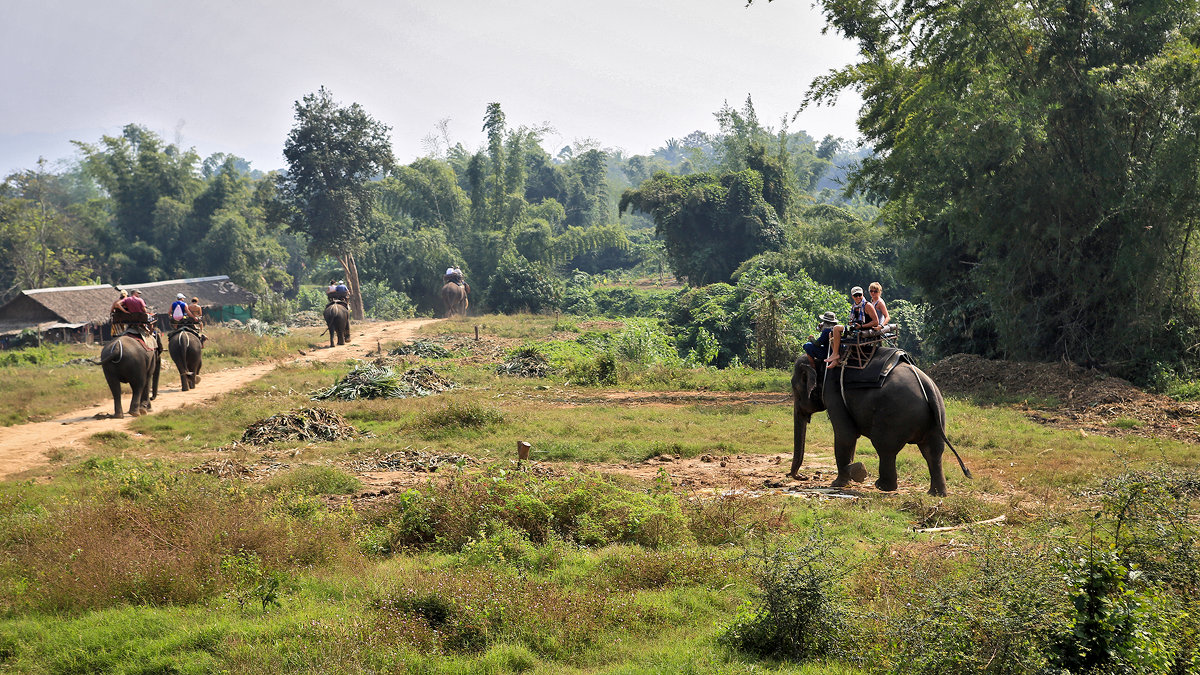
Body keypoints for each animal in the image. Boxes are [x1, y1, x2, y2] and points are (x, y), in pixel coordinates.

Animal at [787, 345, 974, 494]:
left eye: (795, 389)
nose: (801, 476)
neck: (821, 359)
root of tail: (927, 386)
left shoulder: (833, 392)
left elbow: (846, 435)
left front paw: (843, 480)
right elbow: (850, 437)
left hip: (893, 416)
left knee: (885, 448)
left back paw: (883, 486)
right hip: (937, 417)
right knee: (932, 451)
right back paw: (936, 494)